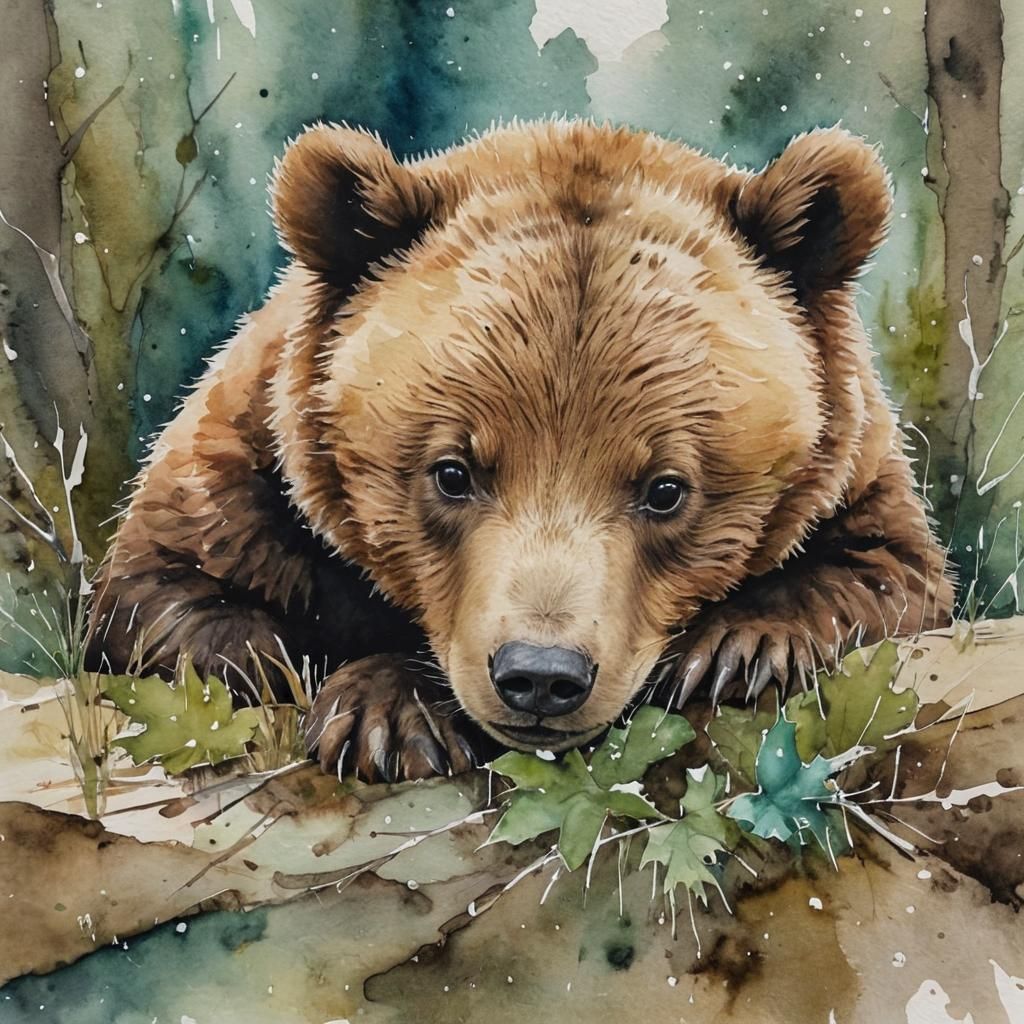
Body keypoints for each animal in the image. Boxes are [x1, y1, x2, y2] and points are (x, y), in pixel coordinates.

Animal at [87, 118, 955, 782]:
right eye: (453, 473)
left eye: (665, 488)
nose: (541, 676)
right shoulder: (253, 468)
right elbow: (166, 600)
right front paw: (386, 712)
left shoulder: (853, 466)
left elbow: (891, 567)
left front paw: (740, 648)